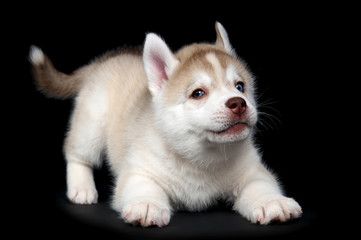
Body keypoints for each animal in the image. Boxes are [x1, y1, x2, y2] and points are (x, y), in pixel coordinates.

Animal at [29, 22, 300, 227]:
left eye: (240, 86)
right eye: (198, 93)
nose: (238, 103)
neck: (201, 158)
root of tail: (107, 59)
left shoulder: (253, 171)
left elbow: (260, 184)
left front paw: (271, 202)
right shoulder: (138, 171)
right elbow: (144, 186)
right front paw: (147, 205)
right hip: (91, 124)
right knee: (77, 154)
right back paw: (82, 188)